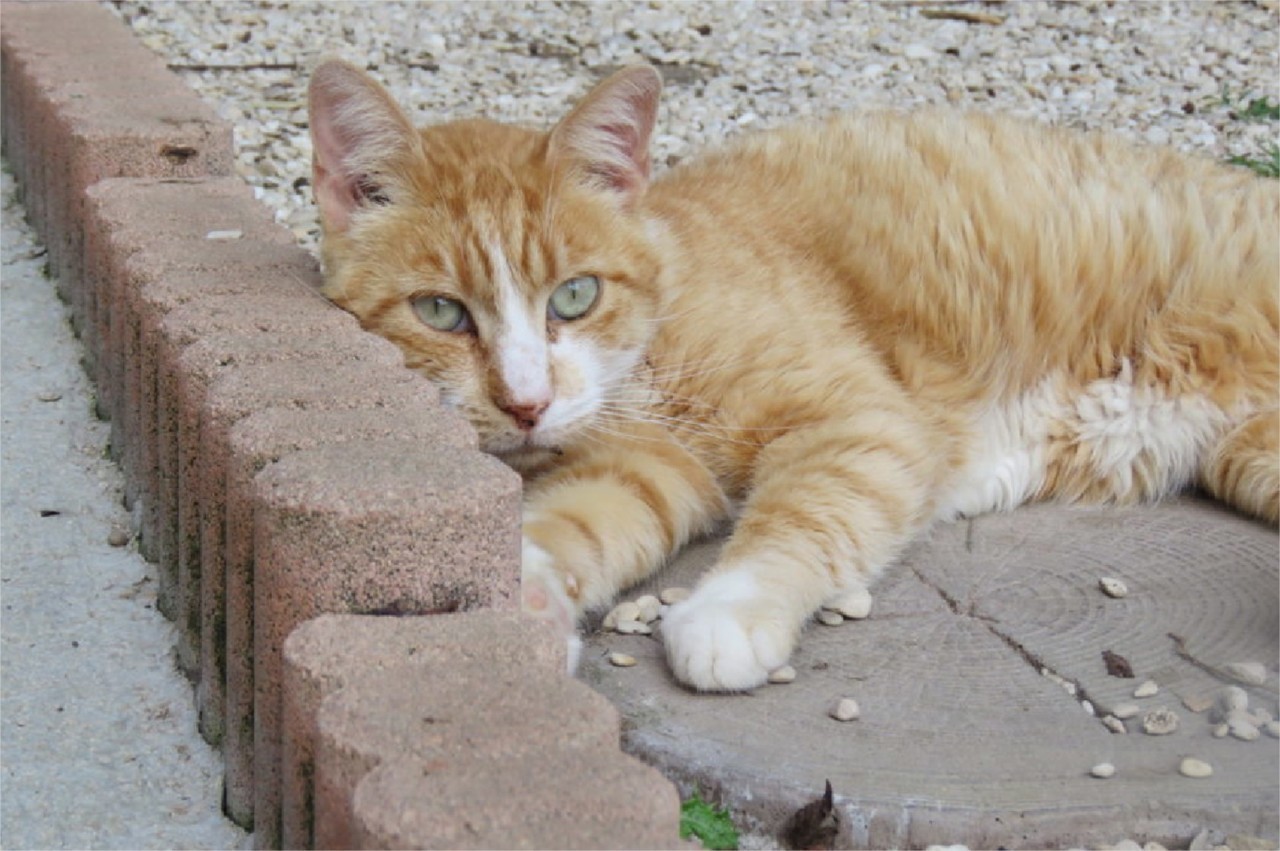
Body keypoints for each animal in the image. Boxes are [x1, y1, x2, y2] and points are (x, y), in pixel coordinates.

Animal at [307, 61, 1280, 691]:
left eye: (575, 296)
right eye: (441, 311)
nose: (525, 402)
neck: (660, 326)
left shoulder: (860, 423)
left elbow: (805, 519)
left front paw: (726, 617)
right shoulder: (645, 469)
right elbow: (567, 524)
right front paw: (523, 606)